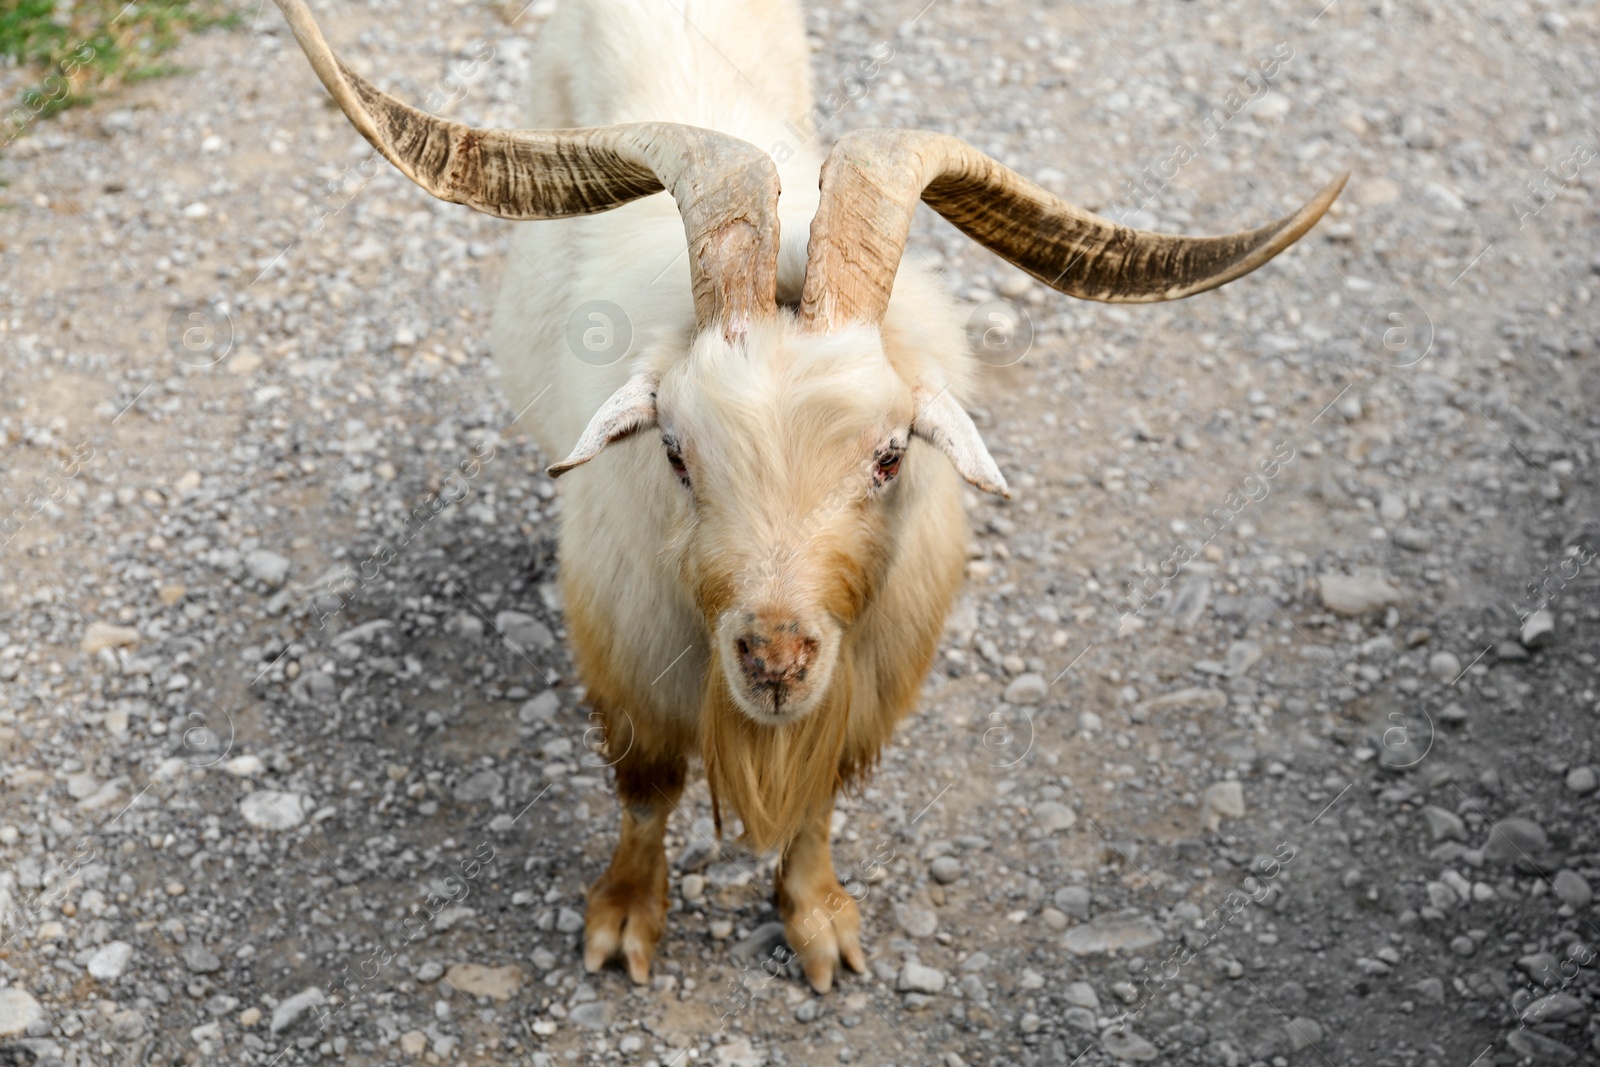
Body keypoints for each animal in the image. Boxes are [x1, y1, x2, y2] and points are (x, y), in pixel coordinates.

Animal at [272, 0, 1337, 991]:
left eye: (890, 456)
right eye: (676, 453)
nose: (776, 660)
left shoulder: (869, 676)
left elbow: (821, 798)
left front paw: (819, 921)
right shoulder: (630, 654)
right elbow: (646, 790)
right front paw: (623, 921)